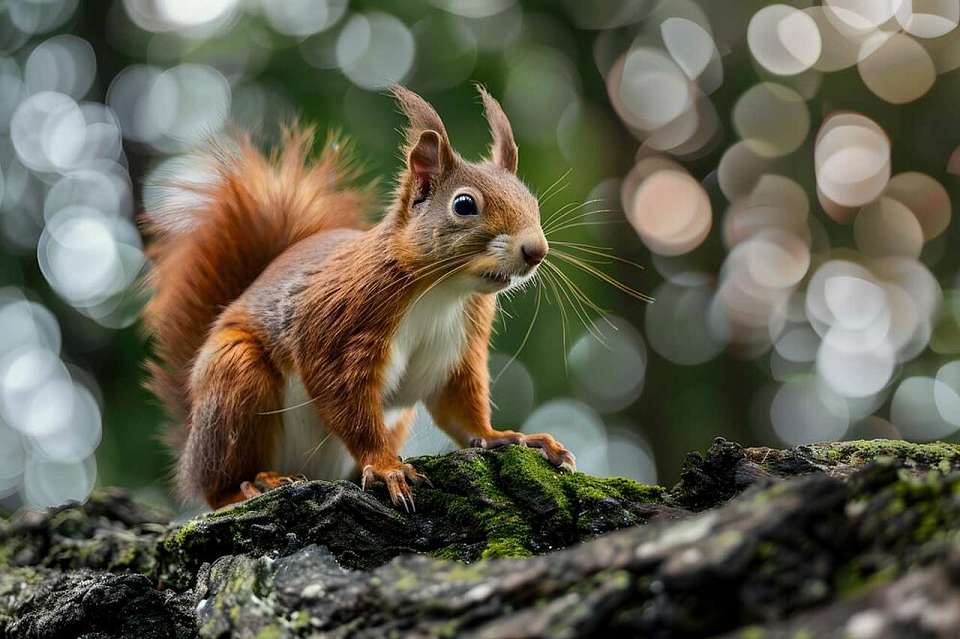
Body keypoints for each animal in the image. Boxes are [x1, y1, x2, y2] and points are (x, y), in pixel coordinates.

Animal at [142, 86, 572, 516]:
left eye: (532, 202)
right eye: (464, 205)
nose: (536, 250)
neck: (442, 290)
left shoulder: (458, 345)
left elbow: (461, 408)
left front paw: (506, 436)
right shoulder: (342, 323)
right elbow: (345, 399)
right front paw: (385, 467)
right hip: (233, 381)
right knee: (216, 486)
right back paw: (252, 485)